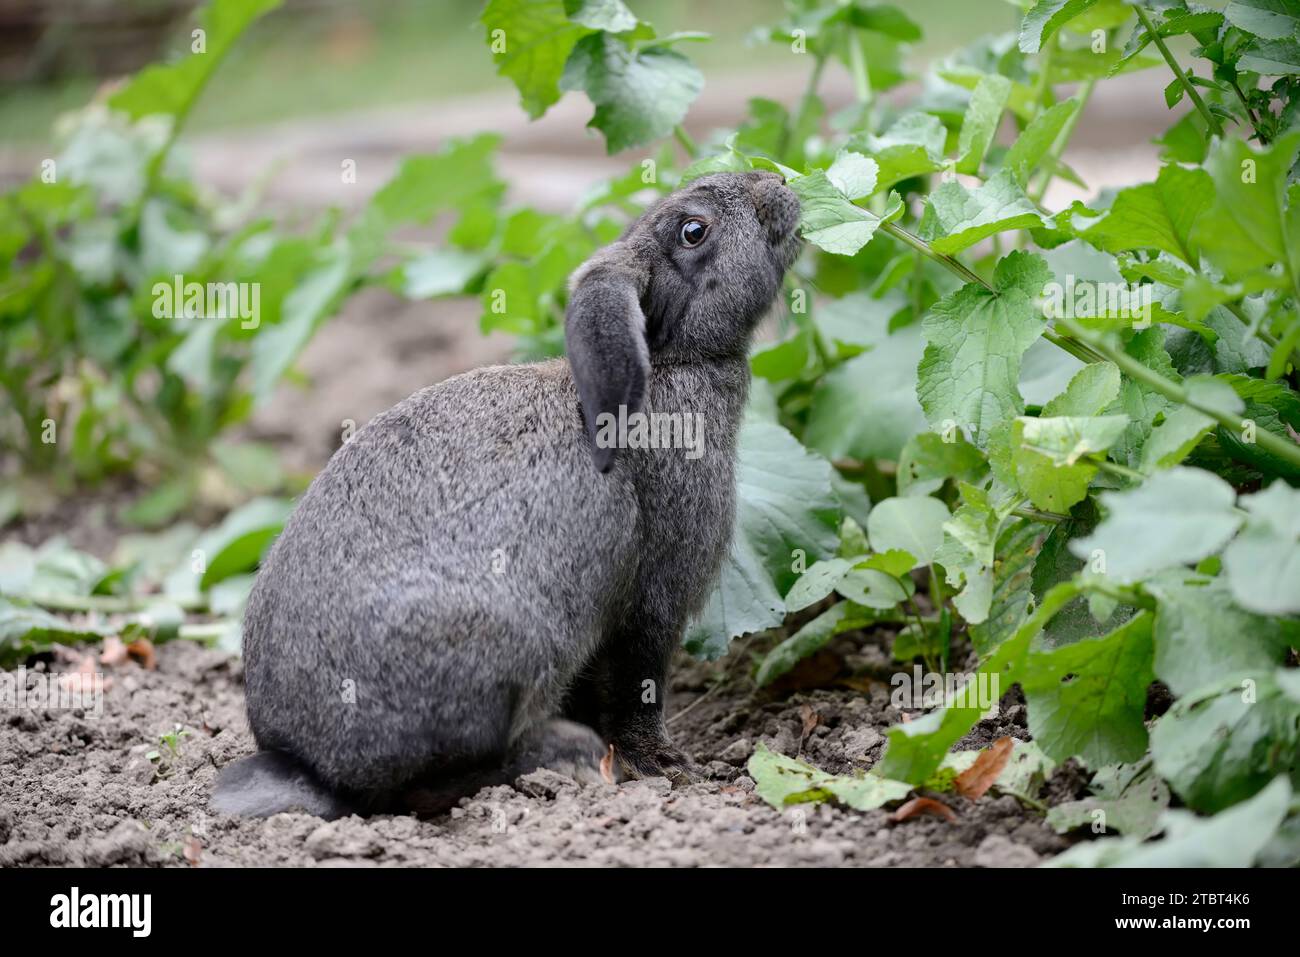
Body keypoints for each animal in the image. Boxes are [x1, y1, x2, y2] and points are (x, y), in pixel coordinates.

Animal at [210, 170, 800, 816]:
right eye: (694, 230)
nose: (776, 184)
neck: (671, 361)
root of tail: (308, 766)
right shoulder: (652, 601)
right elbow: (636, 687)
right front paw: (668, 767)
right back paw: (559, 756)